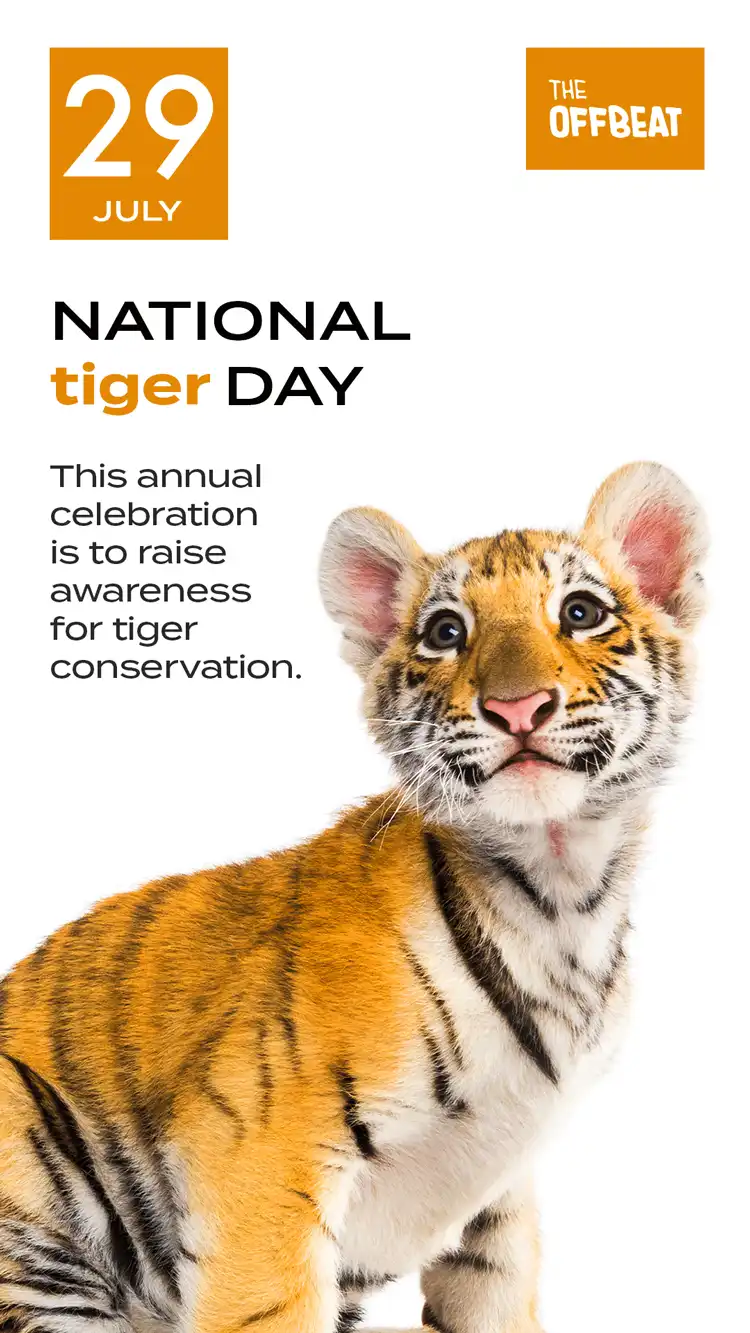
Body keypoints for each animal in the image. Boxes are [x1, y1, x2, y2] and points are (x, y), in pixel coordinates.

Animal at [0, 461, 706, 1333]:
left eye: (581, 613)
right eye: (446, 632)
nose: (517, 706)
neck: (561, 894)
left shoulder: (499, 1195)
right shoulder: (260, 1156)